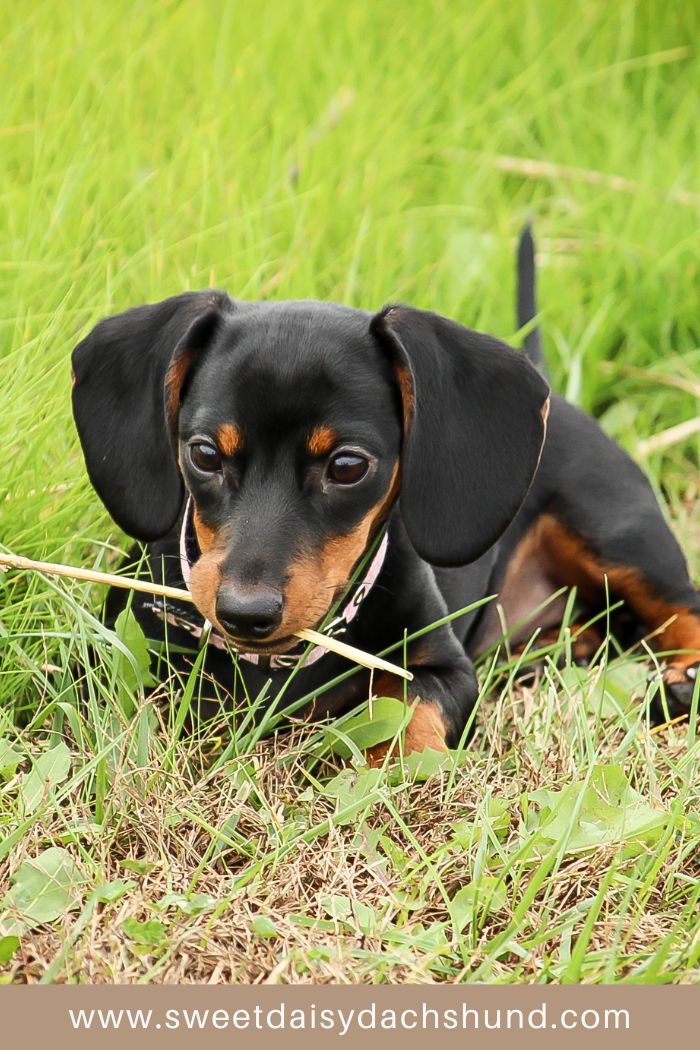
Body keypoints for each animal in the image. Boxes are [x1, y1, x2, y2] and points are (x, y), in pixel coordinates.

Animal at [72, 233, 700, 751]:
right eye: (203, 454)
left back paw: (683, 683)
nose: (244, 613)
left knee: (680, 608)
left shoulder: (446, 672)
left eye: (349, 466)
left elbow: (404, 711)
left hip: (617, 535)